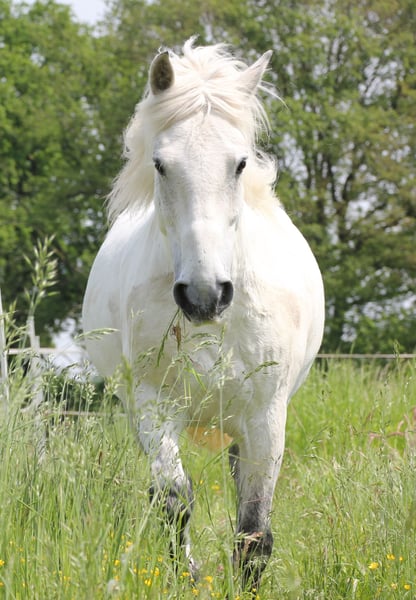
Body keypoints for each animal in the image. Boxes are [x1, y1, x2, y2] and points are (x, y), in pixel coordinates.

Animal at [82, 39, 325, 593]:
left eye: (239, 164)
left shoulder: (266, 417)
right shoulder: (153, 406)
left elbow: (254, 531)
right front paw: (187, 578)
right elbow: (174, 500)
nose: (203, 295)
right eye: (160, 164)